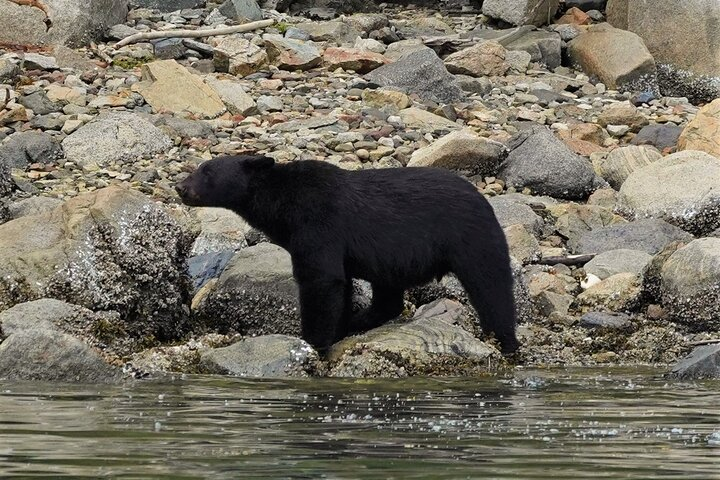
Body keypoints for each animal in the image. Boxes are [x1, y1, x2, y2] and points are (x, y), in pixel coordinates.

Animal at [176, 155, 519, 355]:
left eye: (207, 171)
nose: (180, 187)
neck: (282, 203)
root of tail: (484, 199)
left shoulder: (317, 222)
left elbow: (320, 280)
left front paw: (313, 342)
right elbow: (339, 285)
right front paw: (338, 327)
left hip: (471, 238)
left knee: (491, 288)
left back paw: (506, 341)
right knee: (388, 297)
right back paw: (359, 321)